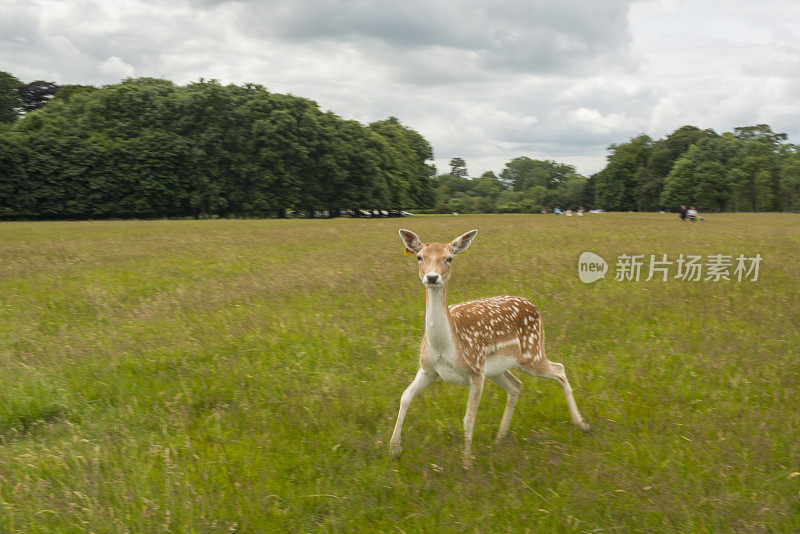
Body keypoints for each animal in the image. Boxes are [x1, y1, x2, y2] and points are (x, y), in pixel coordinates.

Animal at [390, 230, 592, 468]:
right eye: (419, 256)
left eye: (450, 258)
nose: (432, 277)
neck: (445, 347)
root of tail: (536, 307)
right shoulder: (428, 369)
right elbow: (405, 396)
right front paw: (394, 449)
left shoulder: (476, 371)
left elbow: (468, 418)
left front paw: (467, 463)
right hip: (497, 368)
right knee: (516, 386)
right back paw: (500, 438)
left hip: (532, 353)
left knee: (559, 369)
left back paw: (581, 424)